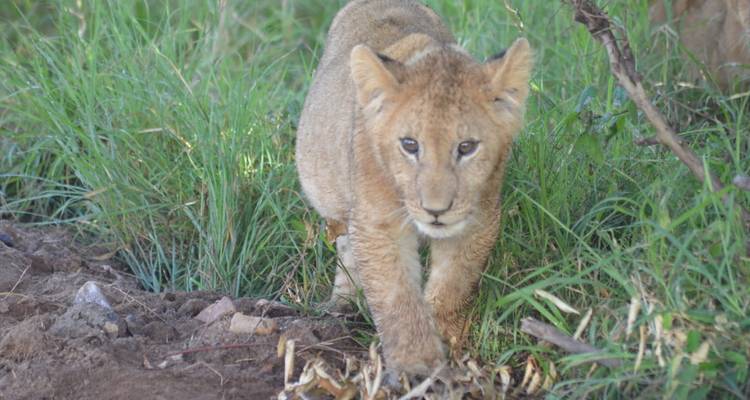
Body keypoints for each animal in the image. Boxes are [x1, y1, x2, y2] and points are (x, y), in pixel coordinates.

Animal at [296, 0, 533, 375]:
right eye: (409, 145)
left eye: (467, 147)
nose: (437, 210)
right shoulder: (379, 225)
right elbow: (397, 297)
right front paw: (416, 366)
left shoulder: (476, 221)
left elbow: (452, 286)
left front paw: (444, 342)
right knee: (346, 249)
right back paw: (342, 305)